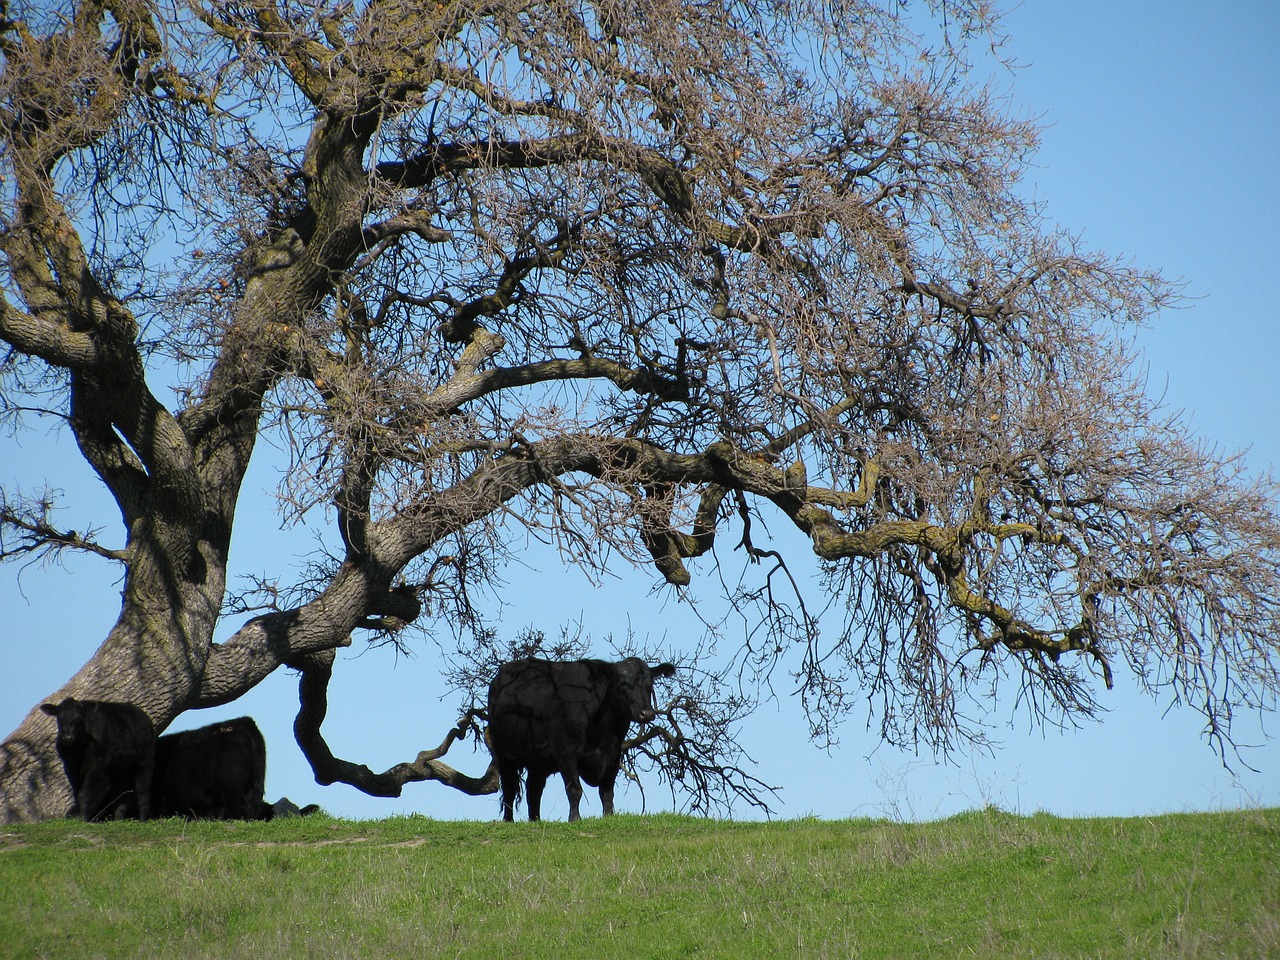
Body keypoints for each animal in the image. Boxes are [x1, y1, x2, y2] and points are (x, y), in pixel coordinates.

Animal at [40, 696, 156, 824]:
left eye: (79, 718)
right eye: (59, 718)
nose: (67, 737)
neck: (78, 751)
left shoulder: (98, 766)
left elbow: (85, 793)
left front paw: (83, 819)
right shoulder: (70, 767)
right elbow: (77, 794)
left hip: (146, 761)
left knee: (142, 792)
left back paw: (142, 820)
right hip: (119, 770)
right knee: (120, 797)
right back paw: (117, 821)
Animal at [483, 660, 675, 824]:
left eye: (649, 684)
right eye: (622, 683)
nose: (646, 713)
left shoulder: (613, 755)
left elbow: (607, 792)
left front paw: (609, 816)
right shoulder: (566, 755)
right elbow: (575, 790)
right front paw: (575, 819)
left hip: (538, 761)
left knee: (534, 789)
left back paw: (535, 820)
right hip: (504, 755)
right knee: (510, 787)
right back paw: (508, 820)